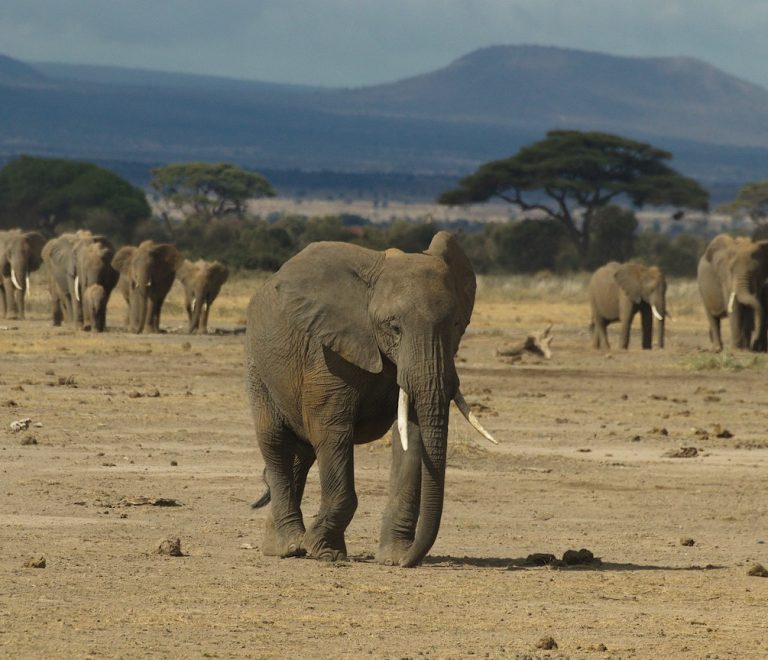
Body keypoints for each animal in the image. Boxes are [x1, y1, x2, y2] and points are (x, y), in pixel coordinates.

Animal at [245, 231, 496, 568]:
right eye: (394, 327)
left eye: (456, 325)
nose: (409, 561)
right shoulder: (328, 355)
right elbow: (331, 431)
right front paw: (325, 552)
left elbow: (412, 437)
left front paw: (394, 557)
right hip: (257, 364)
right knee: (275, 440)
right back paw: (290, 547)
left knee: (302, 452)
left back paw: (280, 545)